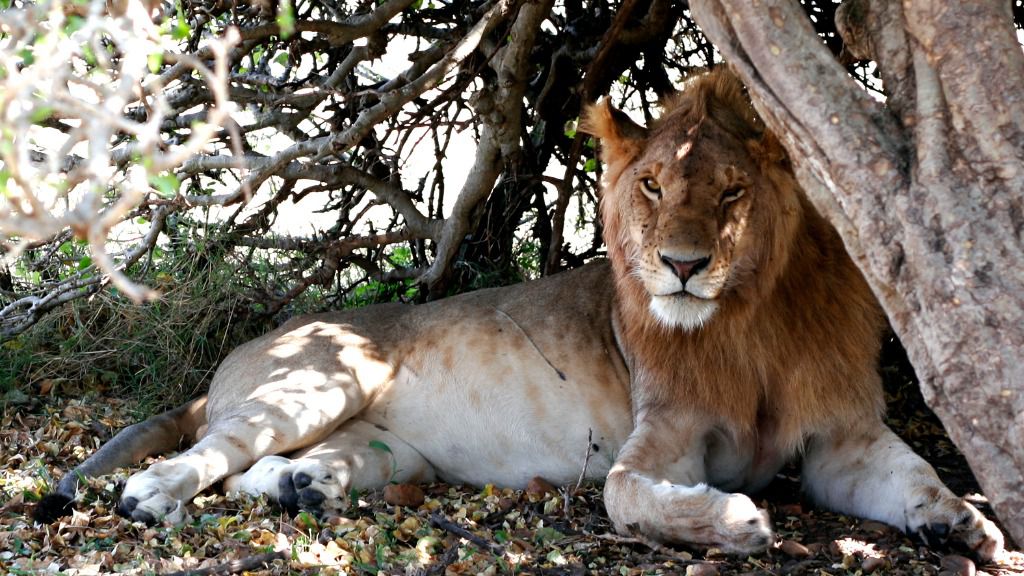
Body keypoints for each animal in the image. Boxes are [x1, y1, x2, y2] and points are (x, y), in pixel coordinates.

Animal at [36, 69, 1003, 557]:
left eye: (732, 191)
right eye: (652, 187)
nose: (682, 267)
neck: (753, 317)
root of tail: (244, 354)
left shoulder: (841, 439)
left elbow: (915, 474)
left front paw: (965, 521)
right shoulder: (663, 437)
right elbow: (625, 496)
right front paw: (733, 524)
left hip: (384, 448)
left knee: (260, 473)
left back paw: (303, 489)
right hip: (316, 382)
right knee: (206, 456)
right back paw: (148, 498)